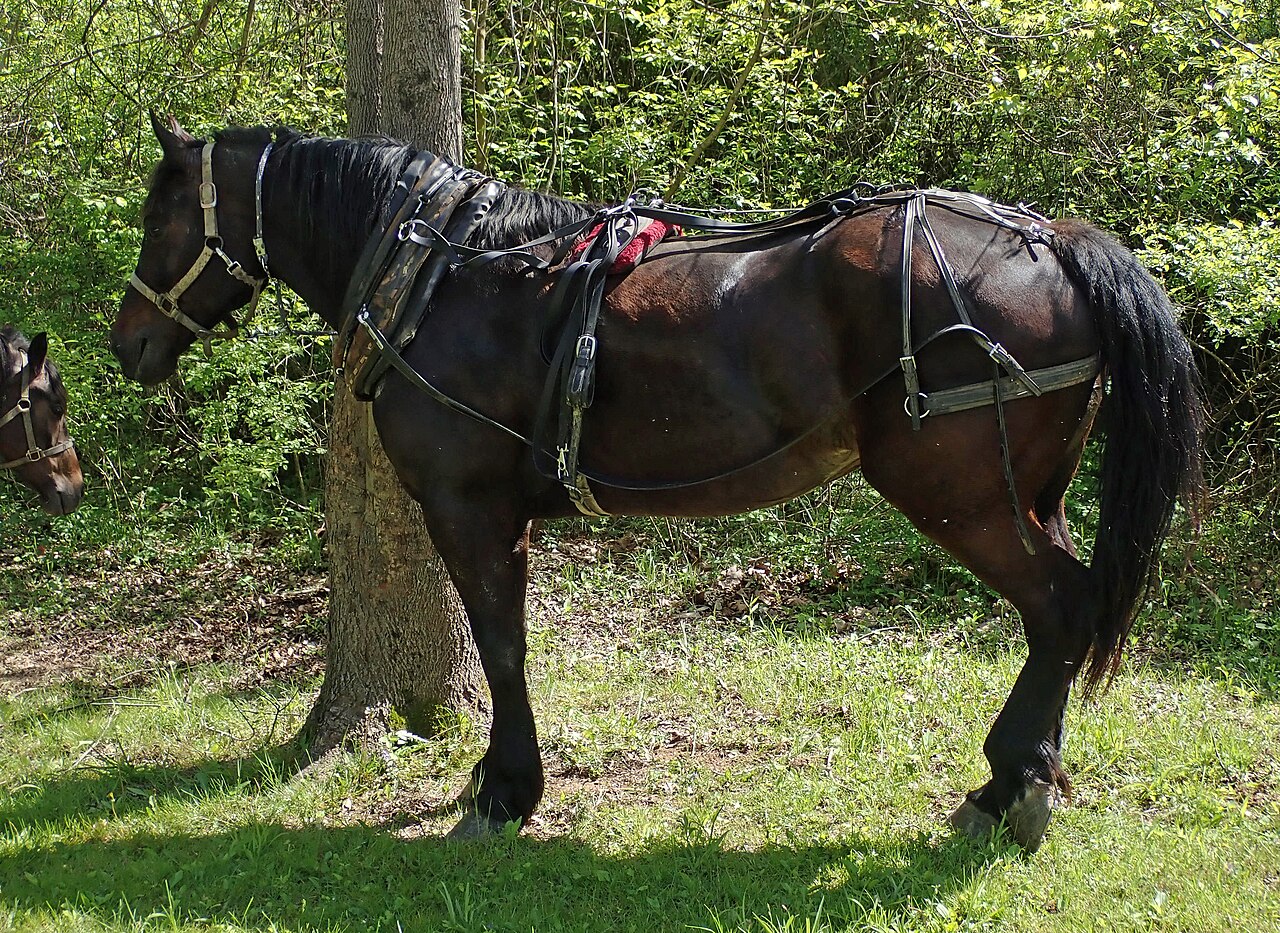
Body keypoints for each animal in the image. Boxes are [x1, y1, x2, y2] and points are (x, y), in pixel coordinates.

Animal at [110, 114, 1204, 852]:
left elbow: (503, 649)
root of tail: (1052, 242)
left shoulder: (472, 510)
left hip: (960, 496)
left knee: (1059, 610)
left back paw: (1008, 783)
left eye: (161, 218)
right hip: (1025, 496)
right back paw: (1024, 774)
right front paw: (503, 782)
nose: (126, 345)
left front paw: (503, 790)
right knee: (1067, 611)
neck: (447, 273)